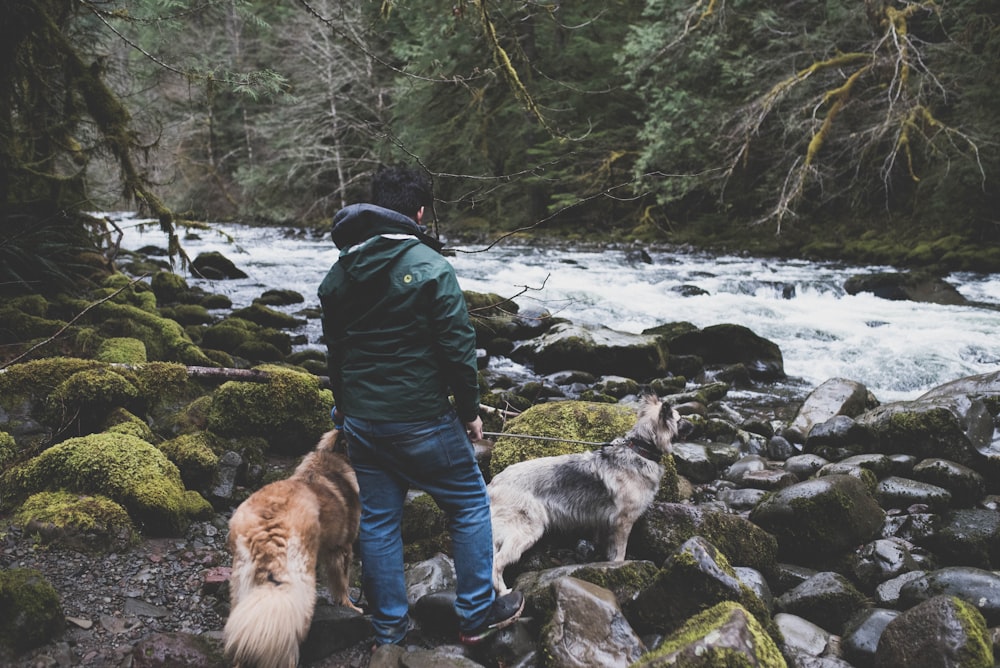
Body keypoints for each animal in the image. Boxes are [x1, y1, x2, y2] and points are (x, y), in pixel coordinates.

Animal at [225, 428, 362, 668]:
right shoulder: (342, 548)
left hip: (243, 582)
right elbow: (342, 584)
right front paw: (351, 607)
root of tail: (267, 528)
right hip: (300, 583)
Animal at [486, 394, 692, 592]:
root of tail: (494, 483)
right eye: (679, 419)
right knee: (497, 563)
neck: (640, 449)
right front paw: (620, 566)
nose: (694, 425)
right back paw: (503, 592)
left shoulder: (604, 524)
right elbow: (620, 551)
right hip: (526, 530)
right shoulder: (623, 523)